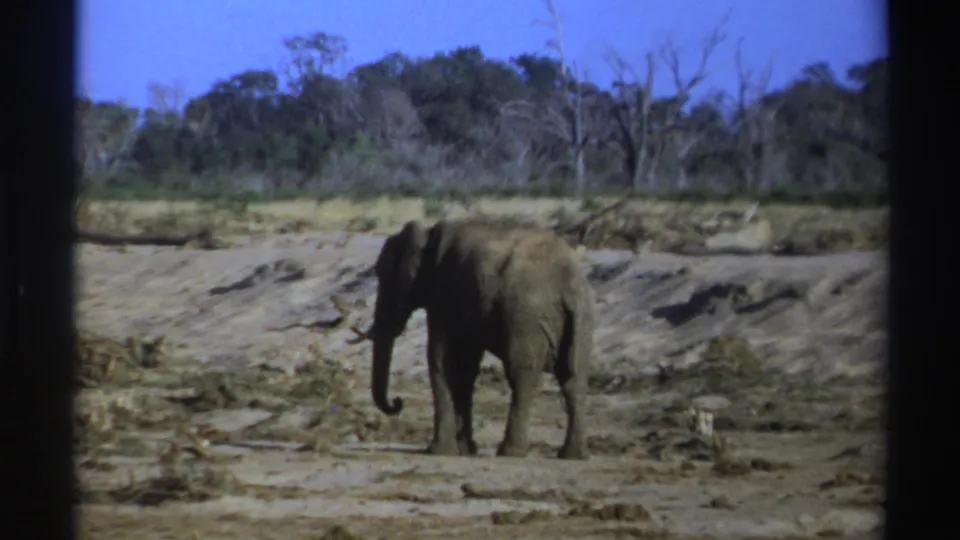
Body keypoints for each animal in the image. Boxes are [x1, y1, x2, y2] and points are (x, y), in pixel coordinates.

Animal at [349, 218, 595, 460]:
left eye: (383, 276)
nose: (398, 402)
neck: (428, 234)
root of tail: (569, 282)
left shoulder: (443, 291)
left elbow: (442, 359)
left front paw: (438, 451)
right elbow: (465, 366)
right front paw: (465, 449)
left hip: (526, 316)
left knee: (521, 375)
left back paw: (511, 452)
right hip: (582, 318)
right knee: (573, 378)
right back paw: (573, 455)